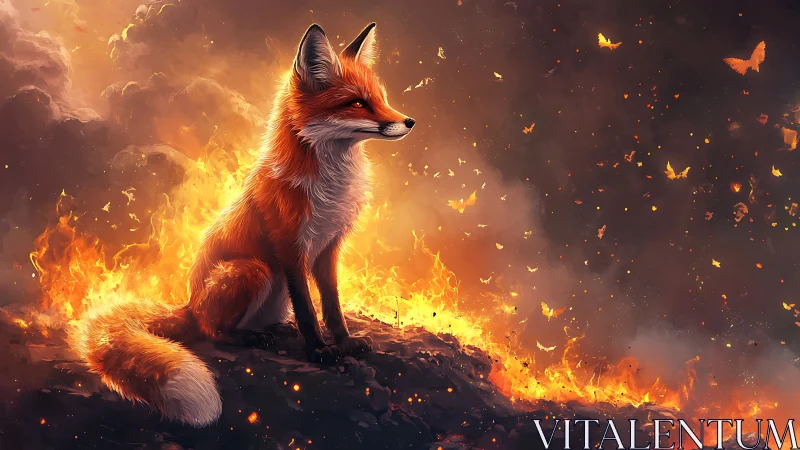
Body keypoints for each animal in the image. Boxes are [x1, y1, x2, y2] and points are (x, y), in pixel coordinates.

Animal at [69, 22, 415, 427]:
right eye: (357, 102)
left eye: (380, 98)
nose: (409, 121)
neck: (331, 186)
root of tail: (189, 304)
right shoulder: (289, 246)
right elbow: (308, 309)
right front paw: (318, 351)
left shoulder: (329, 247)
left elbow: (331, 305)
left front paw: (343, 343)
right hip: (253, 270)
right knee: (213, 331)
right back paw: (245, 338)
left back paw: (270, 329)